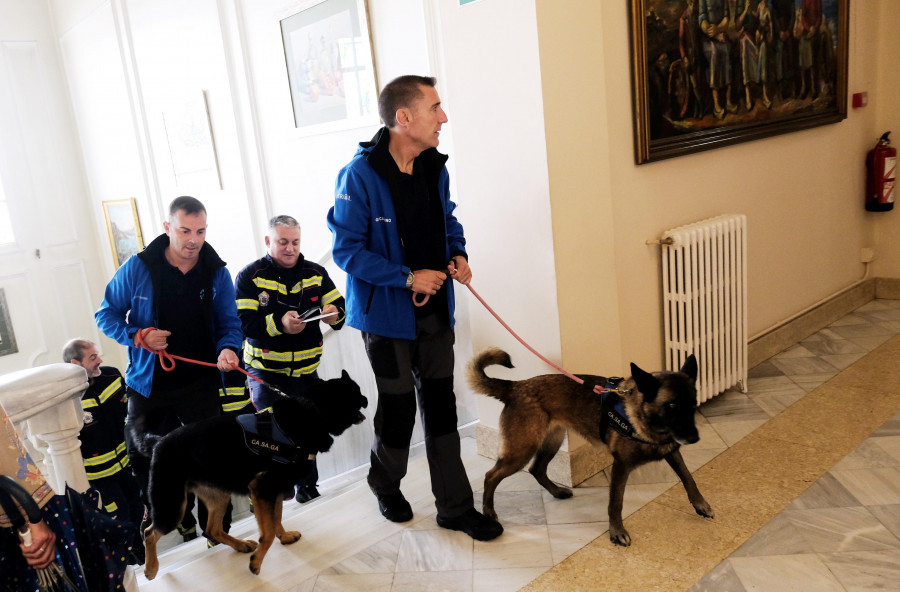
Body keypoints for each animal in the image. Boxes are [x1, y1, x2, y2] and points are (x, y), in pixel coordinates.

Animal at [142, 372, 368, 576]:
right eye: (355, 391)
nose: (366, 399)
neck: (311, 409)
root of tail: (158, 442)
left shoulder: (275, 490)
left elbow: (276, 519)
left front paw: (284, 537)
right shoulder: (262, 489)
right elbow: (267, 532)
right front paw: (257, 562)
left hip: (219, 497)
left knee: (213, 529)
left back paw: (240, 545)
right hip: (174, 508)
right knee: (148, 533)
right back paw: (151, 568)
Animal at [468, 350, 712, 548]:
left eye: (693, 404)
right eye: (672, 405)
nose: (695, 438)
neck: (642, 419)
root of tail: (516, 386)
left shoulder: (671, 452)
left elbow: (688, 478)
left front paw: (701, 504)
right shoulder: (621, 467)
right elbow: (615, 503)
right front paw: (617, 532)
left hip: (551, 442)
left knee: (537, 469)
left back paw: (556, 491)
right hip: (520, 452)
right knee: (491, 476)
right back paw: (489, 512)